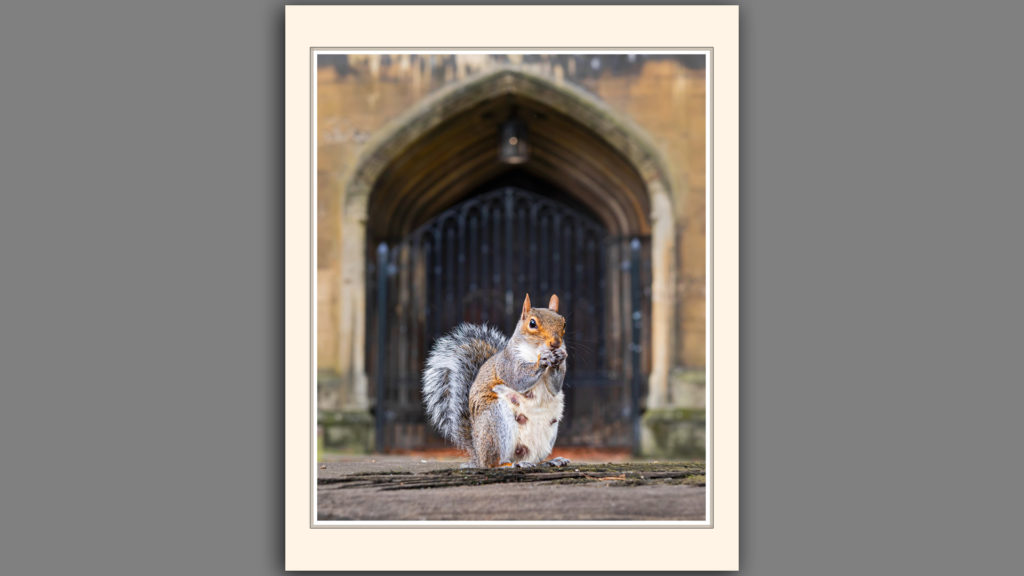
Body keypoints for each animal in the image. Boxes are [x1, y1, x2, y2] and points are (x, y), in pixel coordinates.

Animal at [422, 293, 571, 468]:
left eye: (564, 323)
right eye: (532, 323)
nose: (556, 343)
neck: (535, 351)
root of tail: (477, 454)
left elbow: (554, 388)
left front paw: (560, 357)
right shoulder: (508, 364)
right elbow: (518, 378)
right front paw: (543, 360)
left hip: (549, 432)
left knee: (533, 457)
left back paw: (549, 461)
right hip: (496, 420)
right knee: (492, 462)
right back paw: (509, 464)